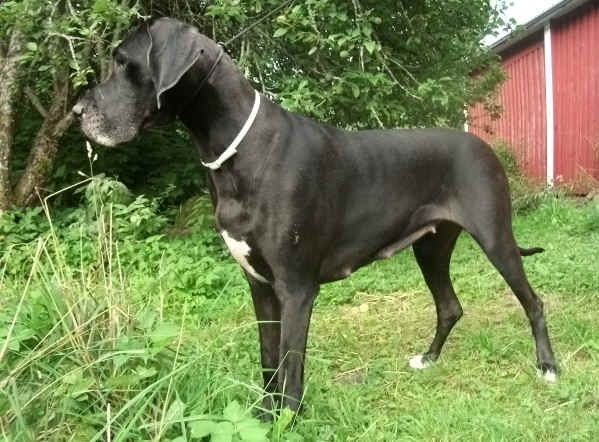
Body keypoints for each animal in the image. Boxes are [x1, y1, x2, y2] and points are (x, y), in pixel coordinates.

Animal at [73, 18, 558, 415]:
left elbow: (291, 365)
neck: (239, 152)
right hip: (431, 246)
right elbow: (268, 360)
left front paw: (287, 419)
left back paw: (548, 367)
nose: (77, 112)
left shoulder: (296, 287)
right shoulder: (260, 285)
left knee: (532, 301)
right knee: (449, 306)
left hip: (494, 236)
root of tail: (482, 144)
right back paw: (428, 358)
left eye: (123, 63)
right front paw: (263, 416)